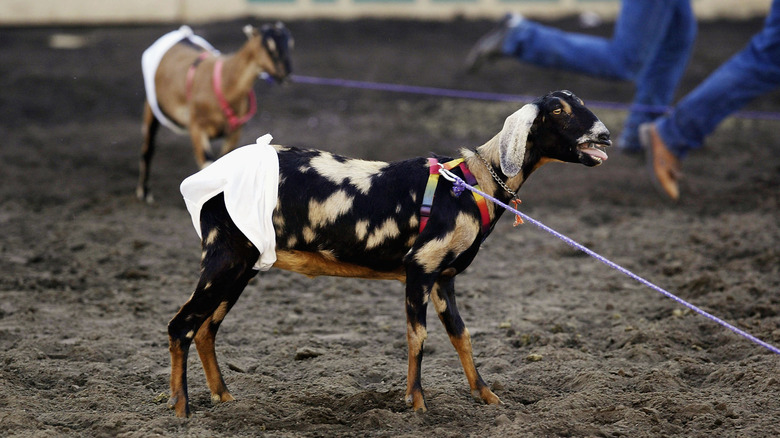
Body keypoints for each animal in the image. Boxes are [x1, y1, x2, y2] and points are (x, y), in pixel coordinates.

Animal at [137, 23, 293, 203]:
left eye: (290, 44)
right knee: (148, 147)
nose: (287, 75)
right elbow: (207, 163)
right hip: (150, 105)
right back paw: (144, 192)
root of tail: (182, 33)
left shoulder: (235, 131)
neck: (224, 83)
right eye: (269, 47)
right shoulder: (197, 127)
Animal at [166, 91, 611, 417]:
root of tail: (209, 177)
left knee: (206, 328)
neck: (472, 183)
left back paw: (224, 399)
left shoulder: (443, 278)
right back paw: (181, 411)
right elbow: (418, 336)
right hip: (224, 259)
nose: (605, 135)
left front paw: (487, 397)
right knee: (181, 326)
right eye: (558, 109)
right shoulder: (420, 267)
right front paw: (418, 405)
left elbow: (461, 335)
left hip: (244, 266)